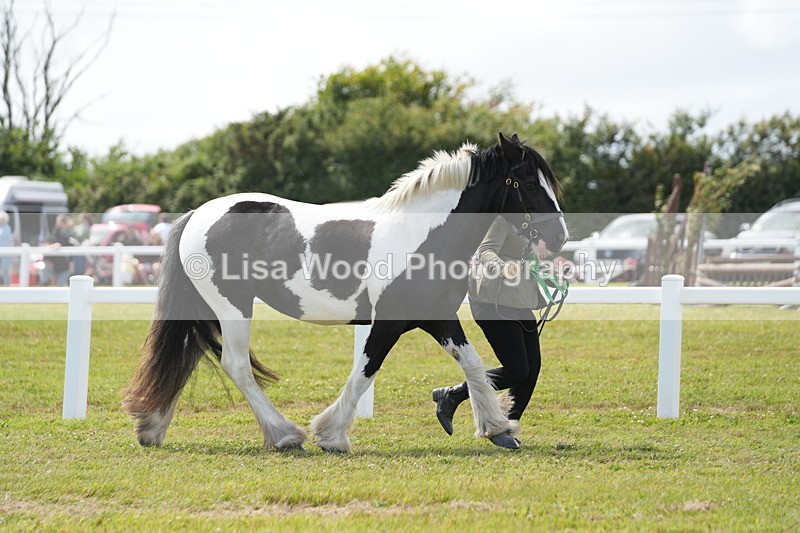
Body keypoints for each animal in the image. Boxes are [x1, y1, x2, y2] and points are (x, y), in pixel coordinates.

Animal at [123, 132, 568, 452]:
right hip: (233, 307)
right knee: (236, 365)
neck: (421, 235)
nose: (560, 237)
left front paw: (497, 427)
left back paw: (153, 428)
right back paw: (285, 435)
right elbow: (363, 373)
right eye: (529, 181)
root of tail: (197, 214)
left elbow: (474, 365)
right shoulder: (388, 323)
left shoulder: (438, 318)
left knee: (187, 355)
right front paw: (332, 435)